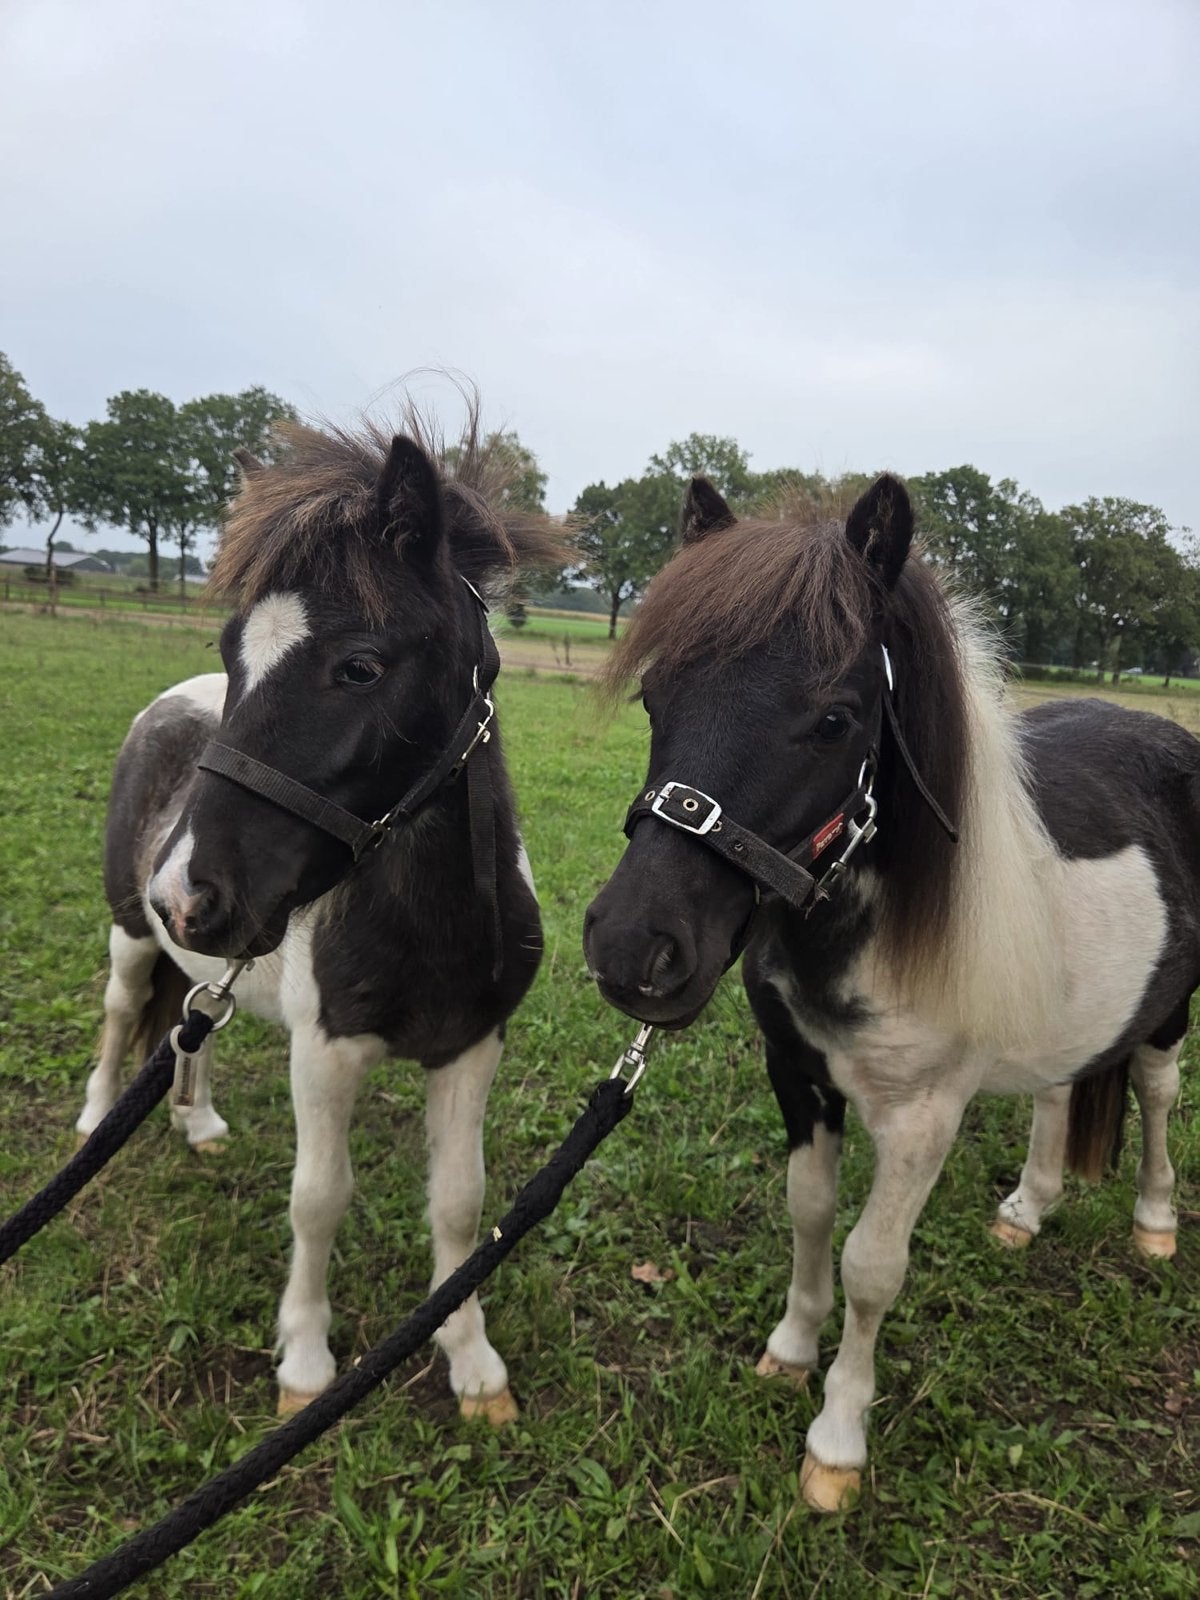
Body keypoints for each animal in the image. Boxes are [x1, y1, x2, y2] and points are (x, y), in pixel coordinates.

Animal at [77, 414, 562, 1421]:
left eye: (360, 666)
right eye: (233, 653)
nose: (187, 894)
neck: (433, 924)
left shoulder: (472, 1046)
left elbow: (460, 1199)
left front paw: (471, 1361)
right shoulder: (326, 1049)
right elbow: (319, 1197)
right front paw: (304, 1361)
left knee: (190, 1031)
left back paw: (199, 1123)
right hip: (132, 937)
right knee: (120, 1011)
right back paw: (100, 1114)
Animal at [584, 473, 1194, 1512]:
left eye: (835, 719)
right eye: (658, 697)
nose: (634, 949)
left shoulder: (923, 1118)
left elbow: (872, 1265)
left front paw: (837, 1441)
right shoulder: (798, 1077)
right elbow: (809, 1213)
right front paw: (790, 1351)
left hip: (1171, 1013)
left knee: (1156, 1093)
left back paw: (1155, 1223)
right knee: (1059, 1091)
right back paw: (1026, 1210)